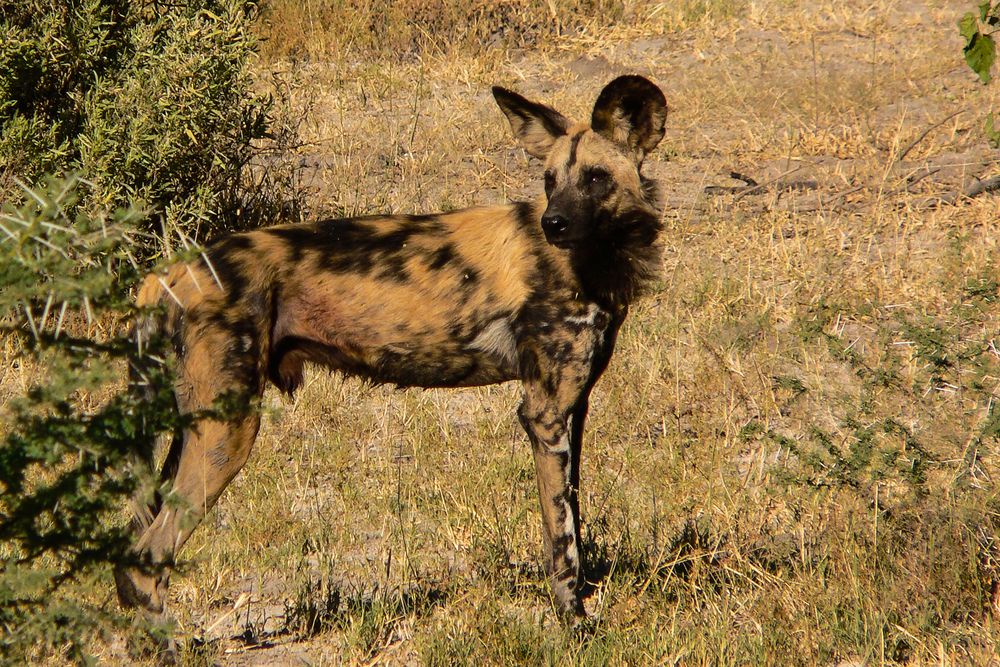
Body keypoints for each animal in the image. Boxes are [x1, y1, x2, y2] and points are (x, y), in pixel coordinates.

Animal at [115, 75, 664, 628]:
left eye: (594, 178)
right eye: (550, 181)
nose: (554, 223)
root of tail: (166, 273)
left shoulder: (574, 408)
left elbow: (574, 509)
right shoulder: (545, 414)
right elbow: (562, 537)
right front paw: (574, 621)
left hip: (191, 431)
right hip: (227, 434)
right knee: (145, 560)